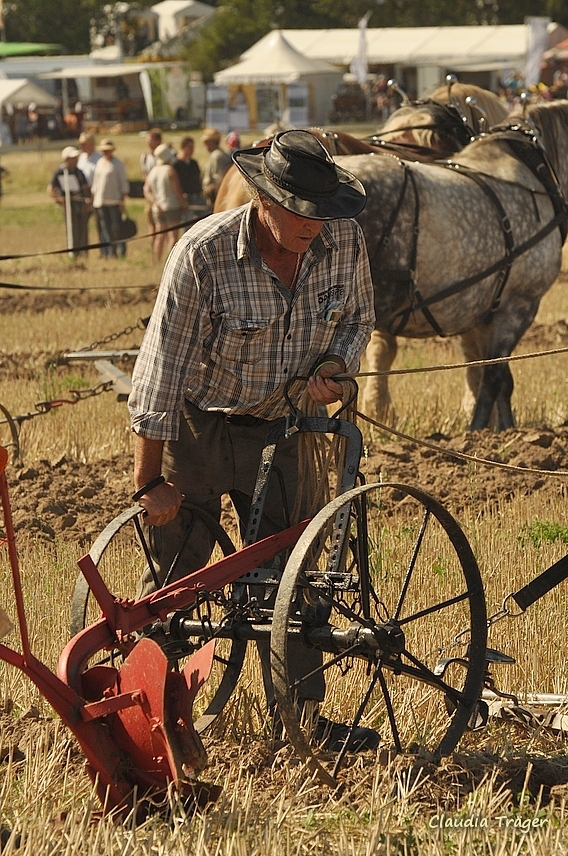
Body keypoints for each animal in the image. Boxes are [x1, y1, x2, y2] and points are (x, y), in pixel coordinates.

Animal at [350, 100, 568, 432]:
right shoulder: (519, 305)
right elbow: (493, 376)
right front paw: (478, 431)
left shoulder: (483, 311)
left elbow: (497, 376)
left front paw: (504, 429)